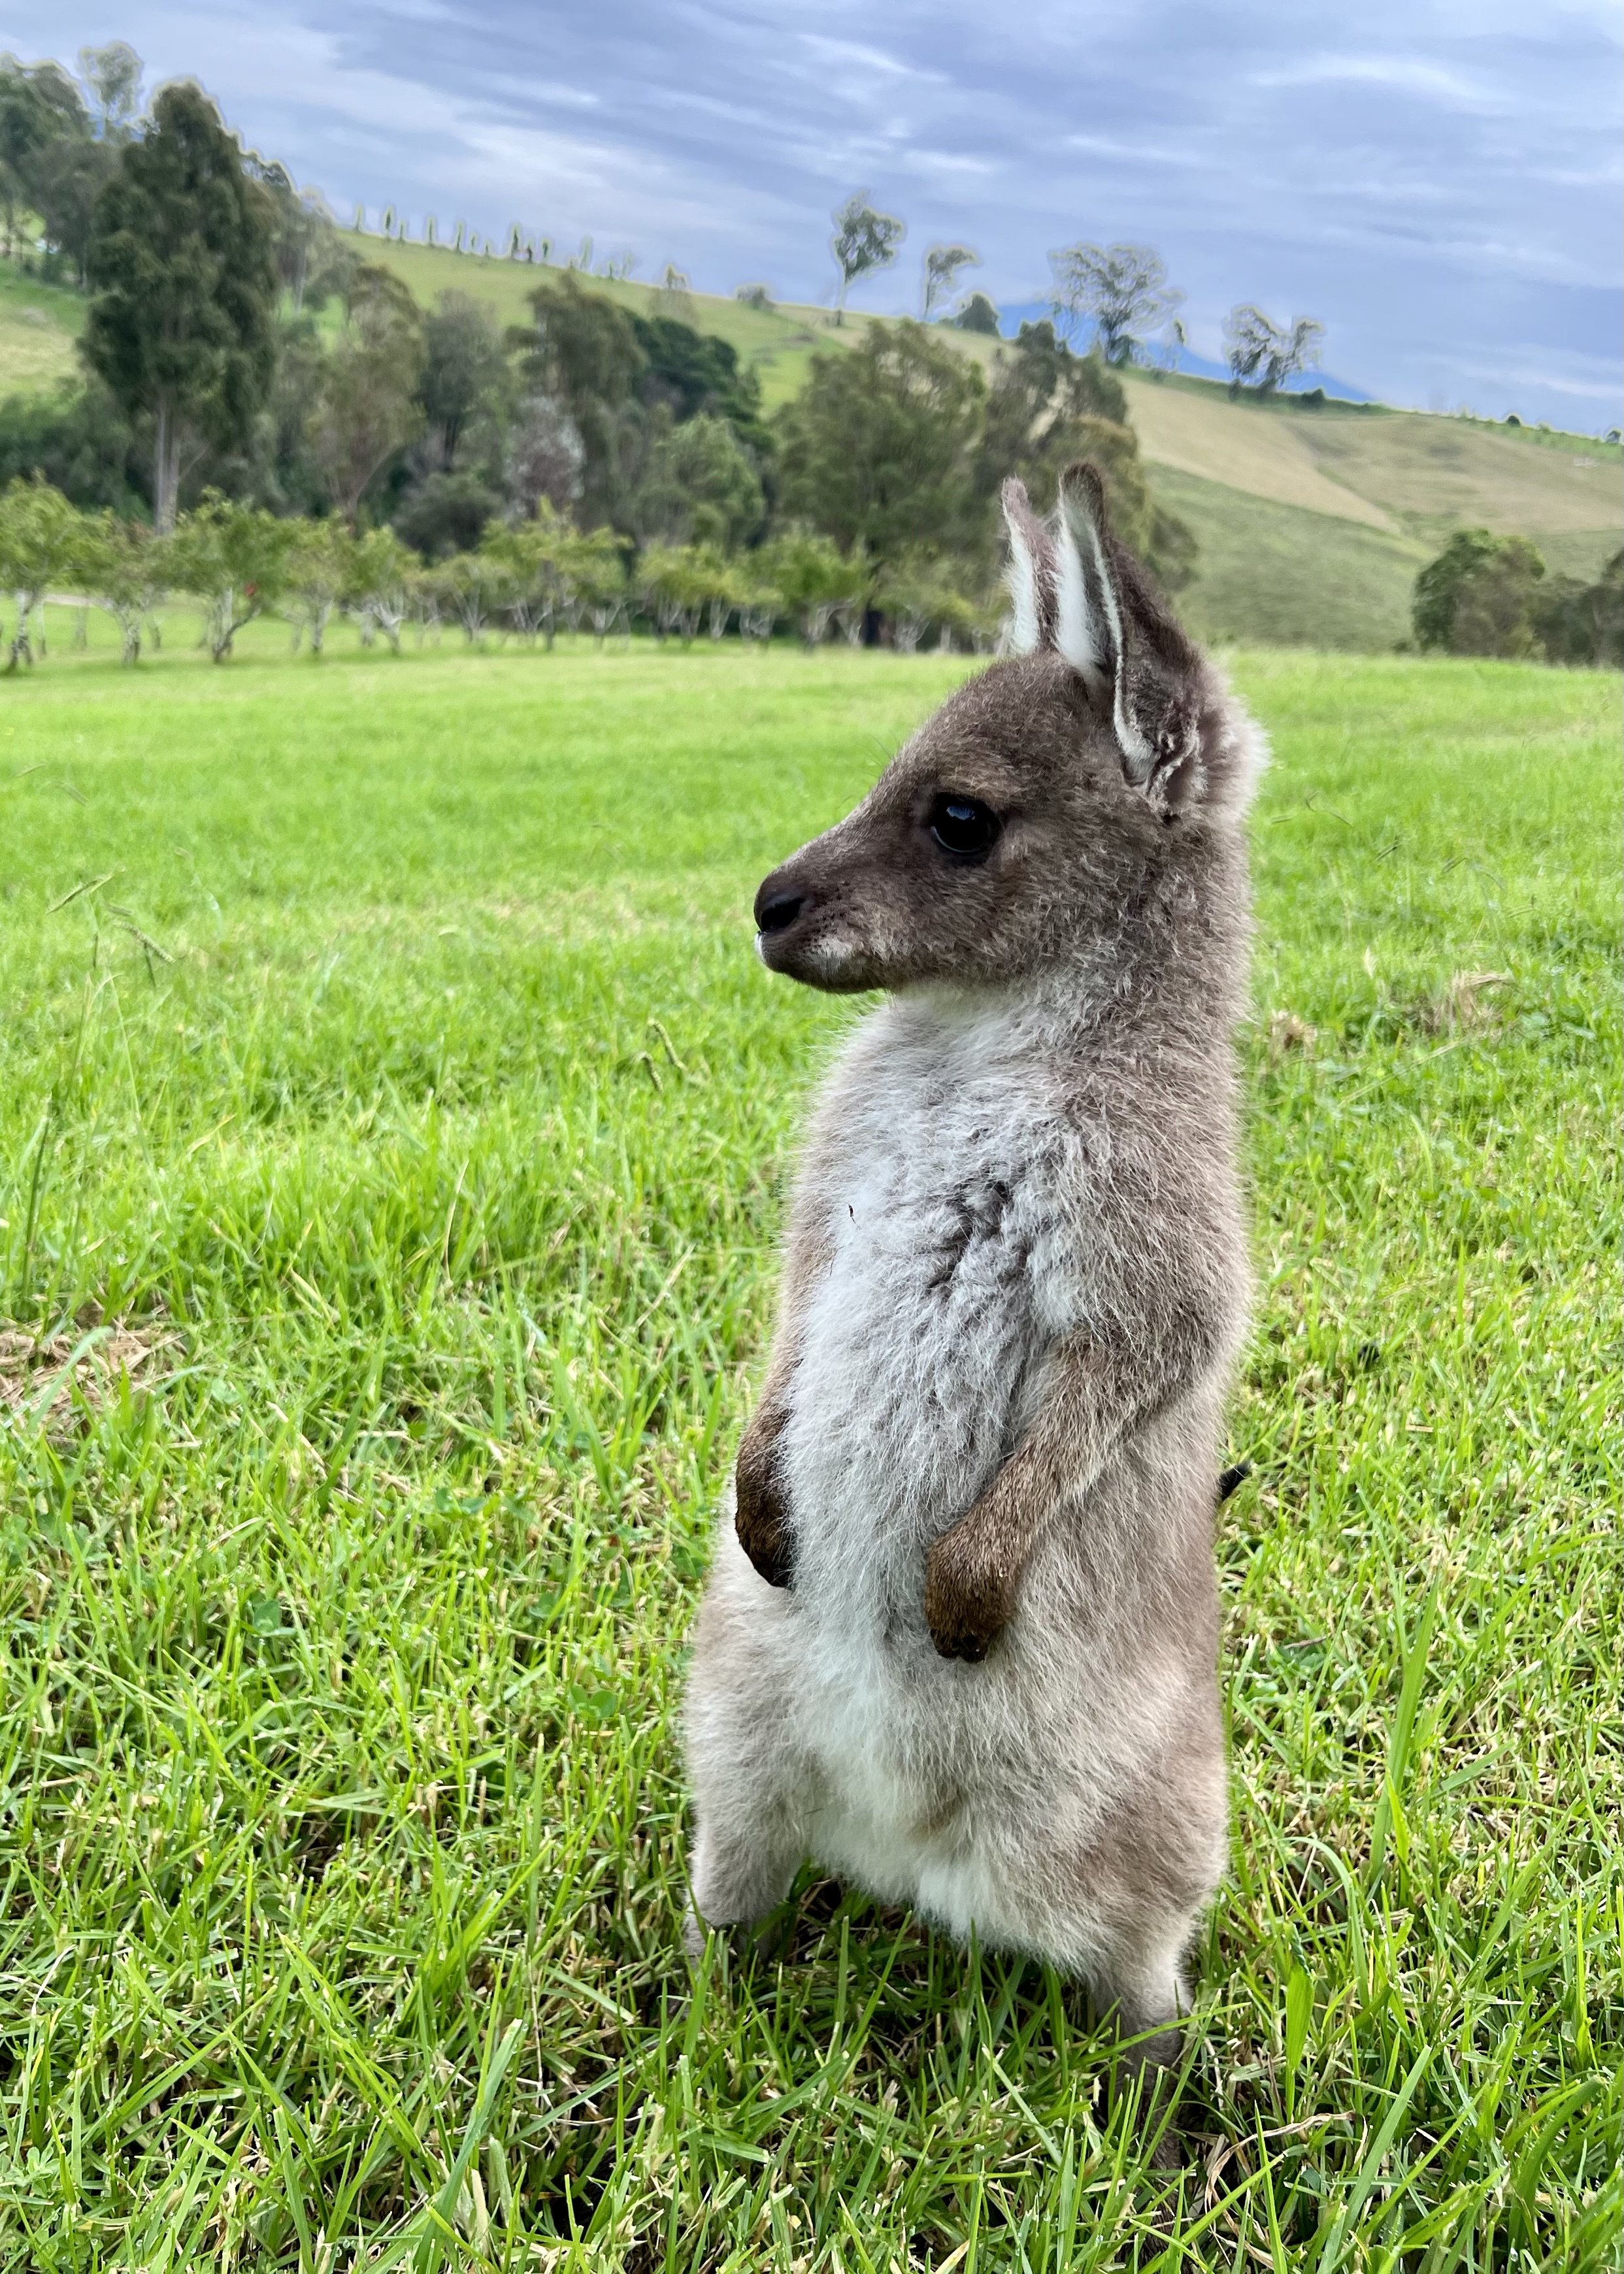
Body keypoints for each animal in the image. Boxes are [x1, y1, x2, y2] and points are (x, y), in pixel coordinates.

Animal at [683, 461, 1264, 2074]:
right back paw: (697, 2017)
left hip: (1153, 1813)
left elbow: (1129, 1371)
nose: (766, 903)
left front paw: (964, 1595)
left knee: (1140, 1974)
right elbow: (794, 1313)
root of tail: (907, 1858)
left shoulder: (1154, 1242)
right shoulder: (828, 1200)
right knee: (733, 1889)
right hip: (730, 1716)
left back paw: (1164, 2093)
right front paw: (764, 1498)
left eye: (957, 819)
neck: (973, 1037)